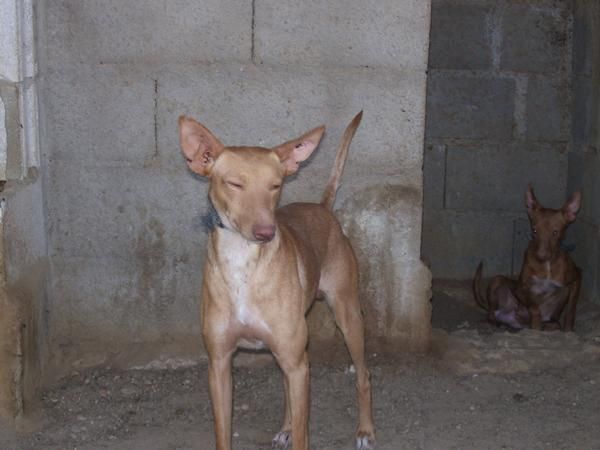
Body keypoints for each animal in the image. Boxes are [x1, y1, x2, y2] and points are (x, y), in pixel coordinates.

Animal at [178, 112, 376, 450]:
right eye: (234, 184)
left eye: (275, 186)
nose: (266, 233)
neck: (243, 266)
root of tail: (322, 208)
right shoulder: (219, 364)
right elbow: (223, 433)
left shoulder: (297, 362)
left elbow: (303, 435)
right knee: (288, 388)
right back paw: (286, 427)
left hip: (347, 317)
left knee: (362, 376)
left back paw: (365, 431)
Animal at [474, 185, 580, 330]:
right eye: (534, 231)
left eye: (555, 232)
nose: (541, 255)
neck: (547, 265)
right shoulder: (521, 289)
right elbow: (534, 307)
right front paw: (535, 324)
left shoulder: (576, 278)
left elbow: (571, 311)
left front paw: (569, 330)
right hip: (497, 281)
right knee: (491, 313)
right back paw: (494, 322)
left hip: (556, 310)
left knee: (554, 323)